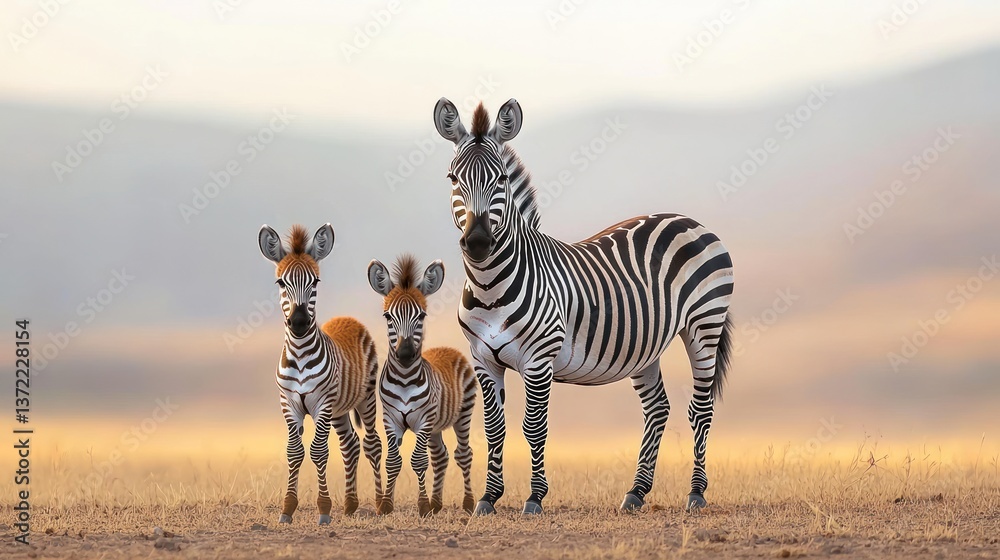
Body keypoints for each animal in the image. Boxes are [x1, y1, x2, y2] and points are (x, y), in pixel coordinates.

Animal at [257, 223, 384, 525]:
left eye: (315, 282)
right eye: (281, 283)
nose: (300, 322)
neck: (301, 355)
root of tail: (347, 318)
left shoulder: (322, 403)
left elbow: (318, 451)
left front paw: (324, 510)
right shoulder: (288, 403)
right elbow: (294, 451)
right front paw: (287, 509)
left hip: (365, 399)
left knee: (372, 444)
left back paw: (379, 504)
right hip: (339, 410)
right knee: (350, 445)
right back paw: (350, 505)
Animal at [368, 255, 477, 516]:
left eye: (422, 316)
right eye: (387, 316)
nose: (405, 354)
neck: (405, 379)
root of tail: (447, 348)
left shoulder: (423, 419)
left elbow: (418, 460)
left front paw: (423, 506)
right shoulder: (391, 419)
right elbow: (393, 461)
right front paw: (386, 505)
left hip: (462, 415)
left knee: (463, 454)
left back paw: (468, 504)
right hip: (436, 427)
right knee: (441, 456)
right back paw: (437, 503)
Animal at [431, 99, 735, 515]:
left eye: (502, 180)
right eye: (452, 178)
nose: (477, 242)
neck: (489, 285)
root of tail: (687, 219)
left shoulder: (538, 359)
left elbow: (533, 427)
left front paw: (534, 497)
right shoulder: (482, 359)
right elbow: (494, 429)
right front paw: (488, 498)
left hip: (705, 325)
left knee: (700, 409)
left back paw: (696, 493)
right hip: (645, 347)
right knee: (657, 408)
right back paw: (636, 492)